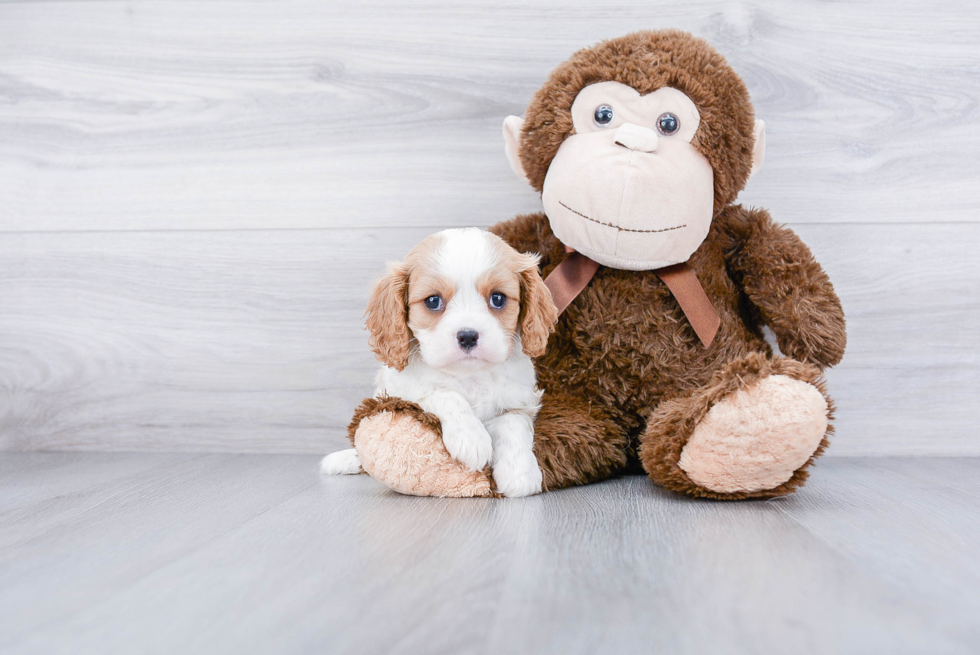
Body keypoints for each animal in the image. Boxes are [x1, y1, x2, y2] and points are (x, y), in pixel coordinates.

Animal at [318, 227, 556, 498]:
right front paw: (471, 438)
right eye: (433, 301)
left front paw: (520, 473)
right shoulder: (403, 390)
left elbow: (513, 424)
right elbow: (445, 394)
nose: (467, 336)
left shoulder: (519, 400)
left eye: (498, 298)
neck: (468, 375)